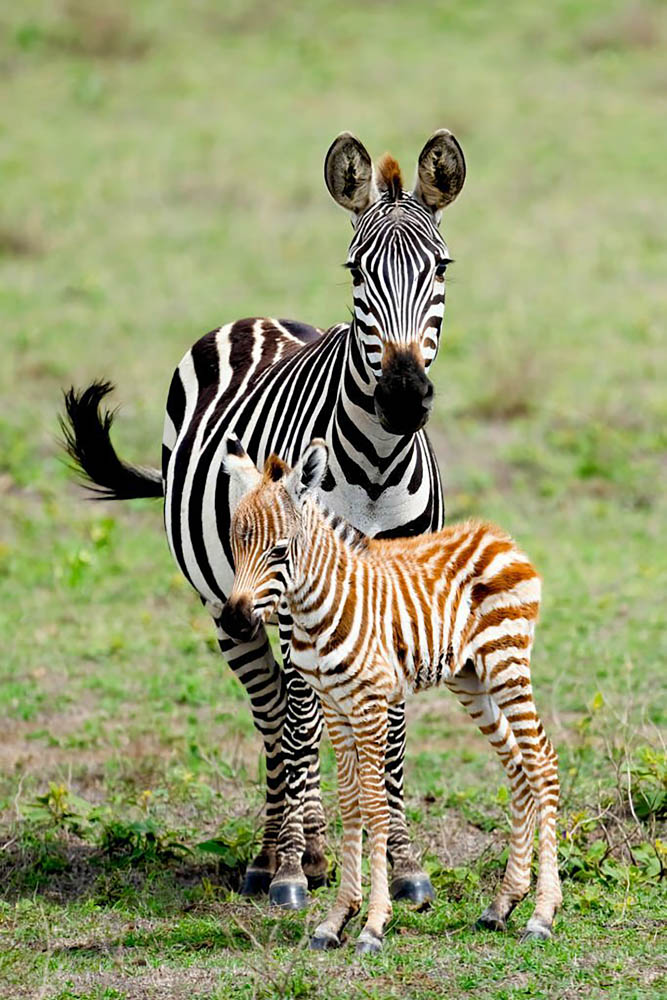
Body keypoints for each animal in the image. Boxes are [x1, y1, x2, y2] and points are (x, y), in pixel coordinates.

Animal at [60, 129, 466, 910]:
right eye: (356, 271)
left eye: (440, 267)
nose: (403, 398)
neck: (375, 466)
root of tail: (253, 319)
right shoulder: (285, 592)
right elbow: (299, 721)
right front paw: (288, 872)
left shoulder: (396, 595)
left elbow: (393, 734)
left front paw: (399, 863)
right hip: (229, 604)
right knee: (278, 708)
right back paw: (277, 854)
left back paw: (314, 847)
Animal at [221, 438, 562, 953]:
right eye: (235, 543)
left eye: (279, 550)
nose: (236, 621)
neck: (317, 605)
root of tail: (498, 535)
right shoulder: (334, 706)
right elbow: (351, 806)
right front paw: (335, 920)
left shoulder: (369, 703)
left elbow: (377, 807)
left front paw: (373, 925)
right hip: (471, 678)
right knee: (517, 766)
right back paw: (503, 904)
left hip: (507, 664)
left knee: (542, 762)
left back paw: (542, 915)